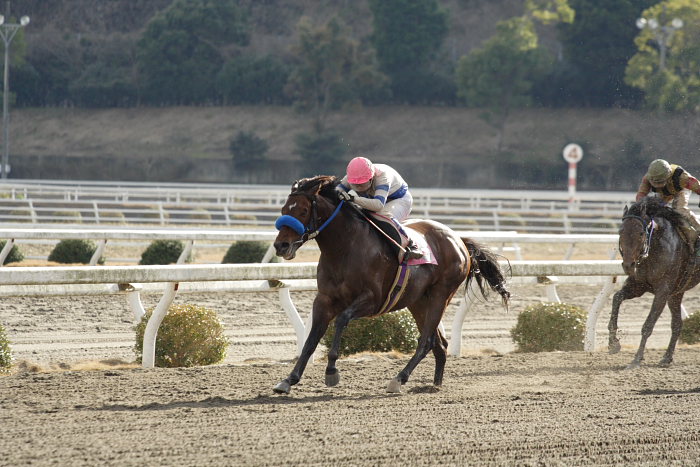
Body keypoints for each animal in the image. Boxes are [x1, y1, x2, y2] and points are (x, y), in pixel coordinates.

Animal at [272, 176, 508, 394]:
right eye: (283, 209)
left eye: (303, 210)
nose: (281, 245)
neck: (345, 248)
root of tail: (458, 239)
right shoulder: (324, 300)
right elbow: (310, 341)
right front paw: (288, 380)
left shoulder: (372, 299)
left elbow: (341, 320)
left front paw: (331, 371)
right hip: (418, 301)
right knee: (439, 344)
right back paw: (434, 385)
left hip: (441, 295)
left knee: (427, 341)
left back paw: (399, 378)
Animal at [608, 197, 696, 370]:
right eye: (621, 232)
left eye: (641, 233)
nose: (628, 265)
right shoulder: (638, 286)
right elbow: (616, 298)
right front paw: (613, 343)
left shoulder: (662, 291)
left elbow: (648, 325)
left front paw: (636, 359)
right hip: (676, 294)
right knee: (677, 324)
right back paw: (666, 357)